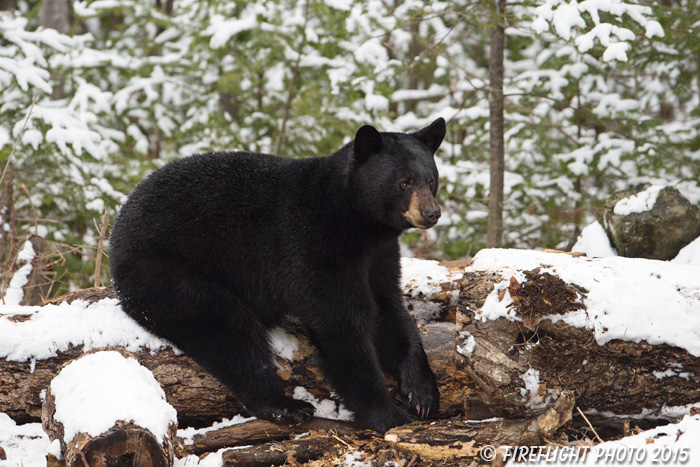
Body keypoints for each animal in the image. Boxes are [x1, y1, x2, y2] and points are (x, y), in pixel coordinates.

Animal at [109, 118, 446, 433]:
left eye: (431, 179)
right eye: (404, 182)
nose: (432, 213)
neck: (356, 223)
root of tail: (118, 233)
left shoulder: (379, 254)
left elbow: (389, 307)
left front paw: (423, 393)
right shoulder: (312, 246)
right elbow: (341, 322)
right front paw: (389, 415)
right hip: (165, 270)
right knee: (229, 329)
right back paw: (286, 405)